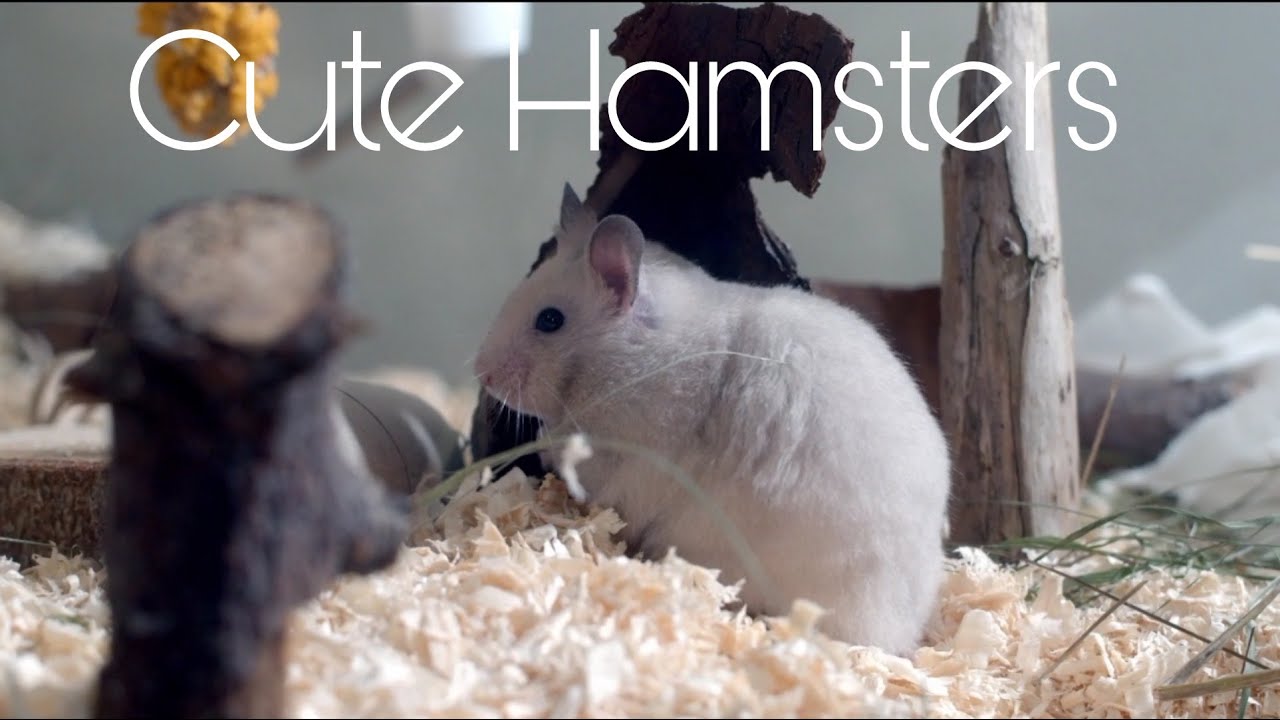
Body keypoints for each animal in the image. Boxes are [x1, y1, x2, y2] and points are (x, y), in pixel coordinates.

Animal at [472, 184, 953, 655]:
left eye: (550, 320)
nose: (483, 374)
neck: (634, 359)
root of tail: (899, 635)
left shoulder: (623, 460)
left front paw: (545, 445)